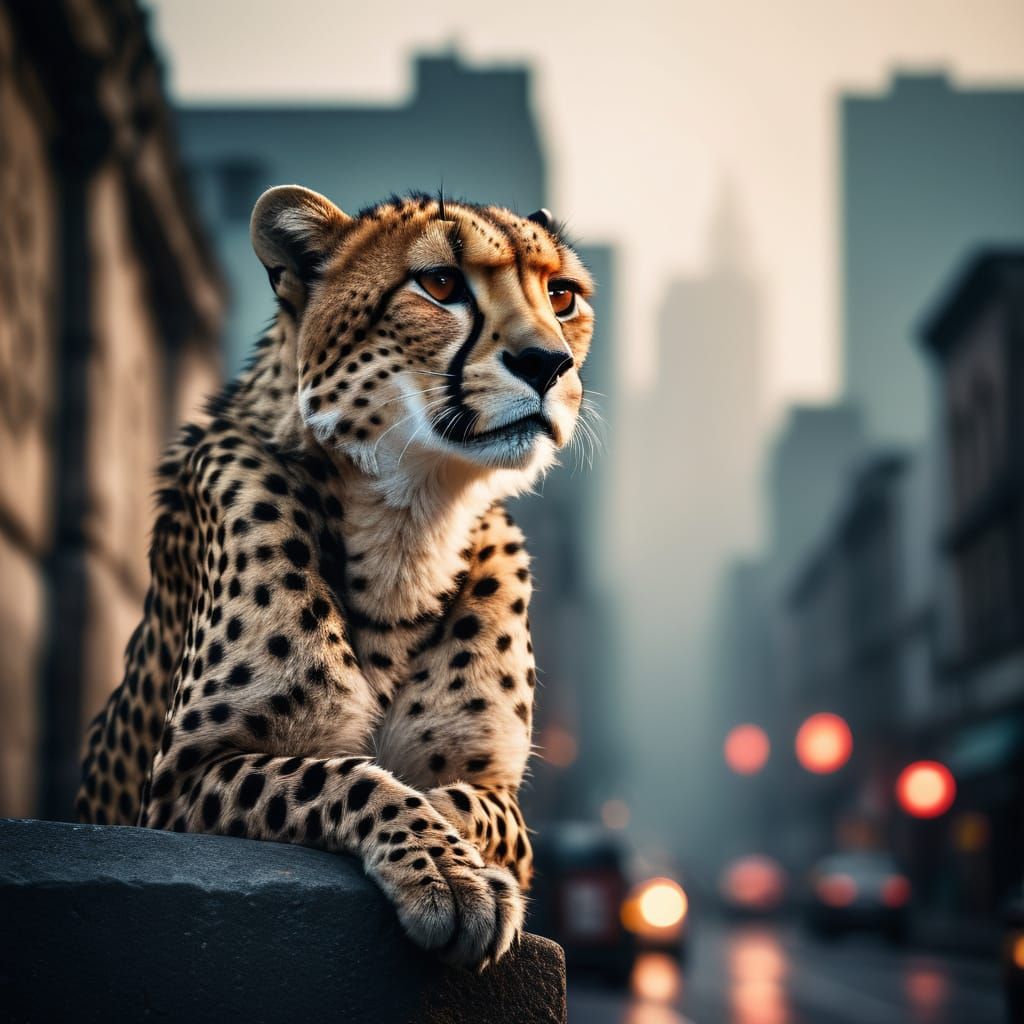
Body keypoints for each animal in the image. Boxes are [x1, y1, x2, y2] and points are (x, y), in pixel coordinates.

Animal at [75, 184, 595, 969]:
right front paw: (443, 868)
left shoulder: (493, 781)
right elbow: (339, 775)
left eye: (561, 296)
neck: (410, 523)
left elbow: (482, 809)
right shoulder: (176, 783)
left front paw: (457, 844)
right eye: (440, 283)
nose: (548, 364)